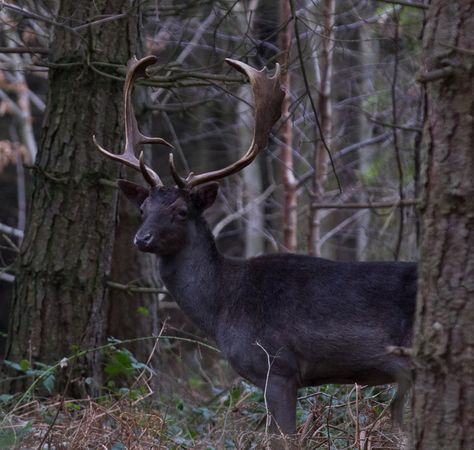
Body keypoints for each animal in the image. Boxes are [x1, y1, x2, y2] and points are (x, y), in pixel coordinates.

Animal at [95, 55, 414, 436]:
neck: (222, 308)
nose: (141, 238)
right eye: (143, 209)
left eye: (182, 211)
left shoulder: (277, 367)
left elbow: (284, 437)